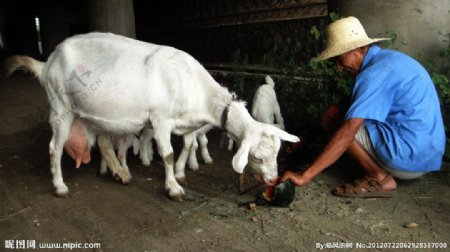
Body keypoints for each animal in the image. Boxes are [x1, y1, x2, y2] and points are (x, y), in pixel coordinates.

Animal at [4, 32, 298, 200]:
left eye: (276, 153)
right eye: (257, 157)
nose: (273, 180)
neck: (195, 86)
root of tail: (47, 63)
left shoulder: (186, 123)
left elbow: (188, 145)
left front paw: (180, 172)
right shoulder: (160, 120)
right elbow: (167, 154)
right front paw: (173, 188)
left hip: (92, 114)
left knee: (103, 142)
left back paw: (120, 173)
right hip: (61, 107)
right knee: (54, 147)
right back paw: (60, 186)